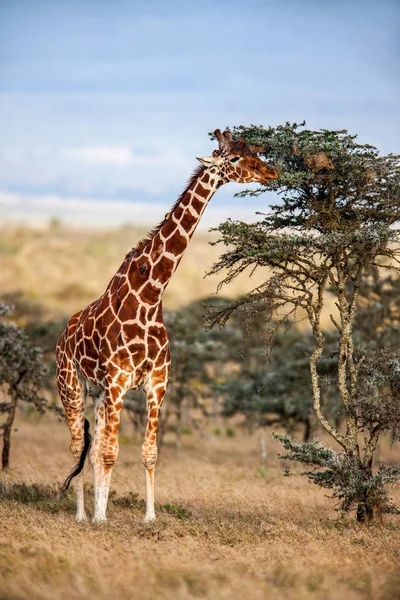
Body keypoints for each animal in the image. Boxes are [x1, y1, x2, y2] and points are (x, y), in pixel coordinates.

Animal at [56, 130, 276, 520]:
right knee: (77, 447)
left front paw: (148, 516)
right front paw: (101, 517)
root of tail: (63, 334)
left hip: (97, 393)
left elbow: (147, 453)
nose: (271, 172)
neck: (151, 294)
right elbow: (111, 452)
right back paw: (82, 515)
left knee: (90, 449)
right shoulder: (118, 381)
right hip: (71, 386)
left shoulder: (156, 382)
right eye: (234, 159)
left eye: (255, 151)